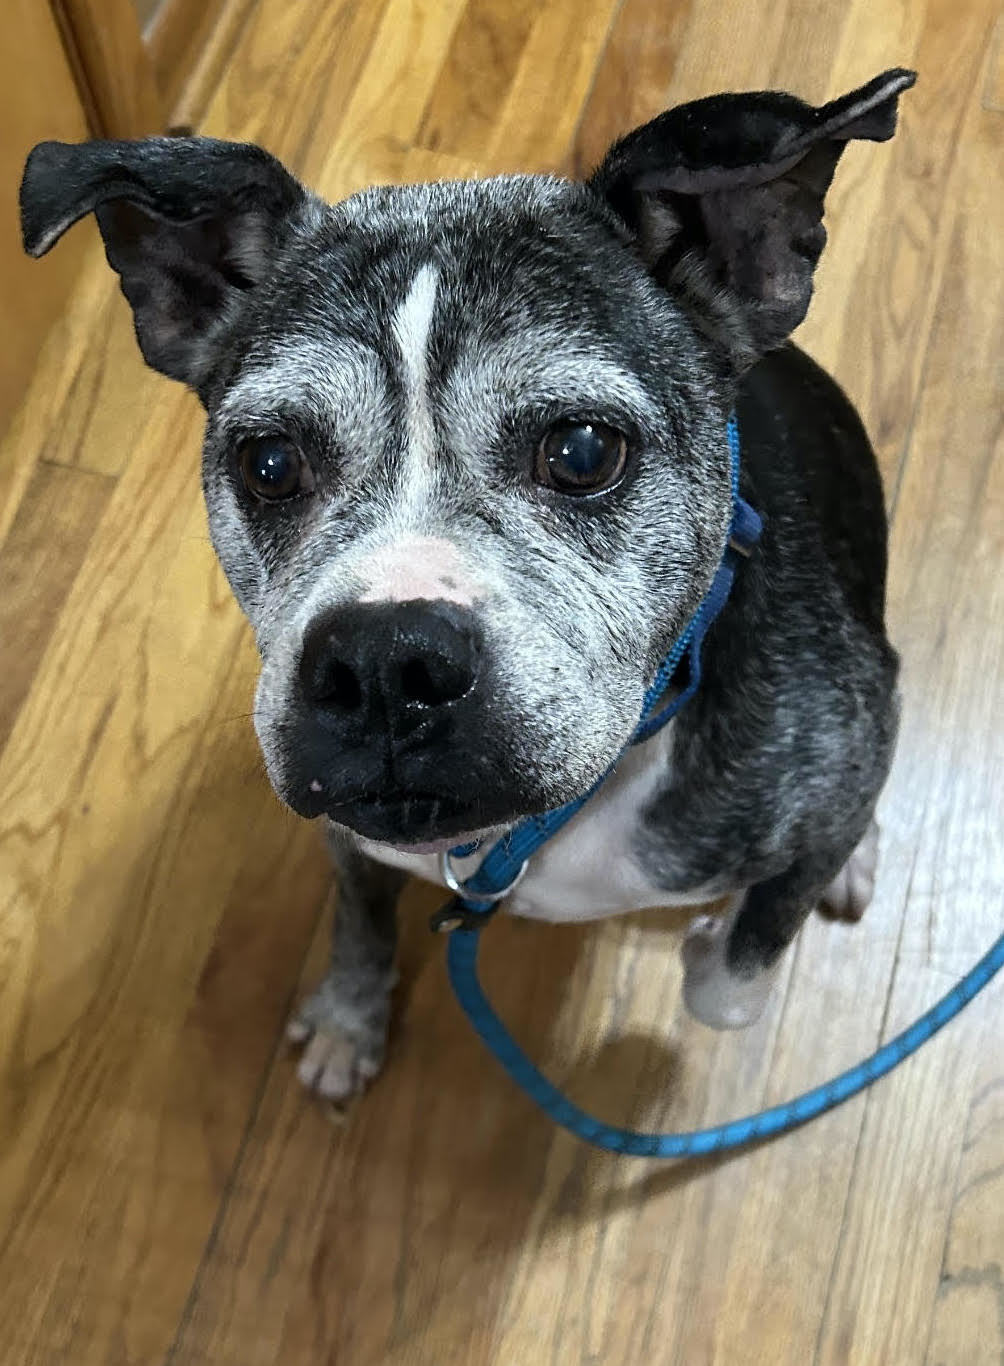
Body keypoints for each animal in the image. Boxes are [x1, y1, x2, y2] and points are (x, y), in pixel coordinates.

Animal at [19, 69, 912, 1103]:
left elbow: (735, 975)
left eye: (582, 451)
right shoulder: (349, 832)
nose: (383, 662)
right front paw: (350, 1016)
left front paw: (713, 939)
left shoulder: (828, 768)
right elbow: (357, 917)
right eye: (269, 463)